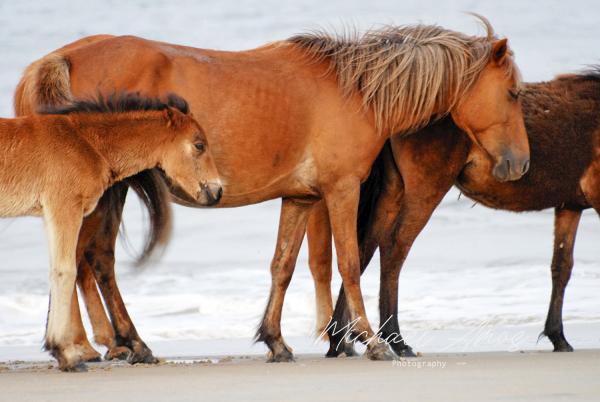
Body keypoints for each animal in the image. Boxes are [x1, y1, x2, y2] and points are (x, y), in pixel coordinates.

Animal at [14, 15, 528, 362]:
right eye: (512, 94)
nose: (519, 163)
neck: (356, 89)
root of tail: (56, 60)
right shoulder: (342, 191)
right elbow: (350, 263)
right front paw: (370, 340)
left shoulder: (300, 198)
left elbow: (282, 266)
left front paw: (275, 339)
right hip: (110, 192)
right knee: (95, 260)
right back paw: (123, 343)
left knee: (80, 261)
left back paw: (92, 344)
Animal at [314, 68, 600, 354]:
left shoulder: (569, 206)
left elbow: (561, 267)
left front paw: (558, 336)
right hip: (424, 192)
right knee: (395, 247)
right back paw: (394, 338)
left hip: (392, 191)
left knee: (362, 249)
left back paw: (341, 339)